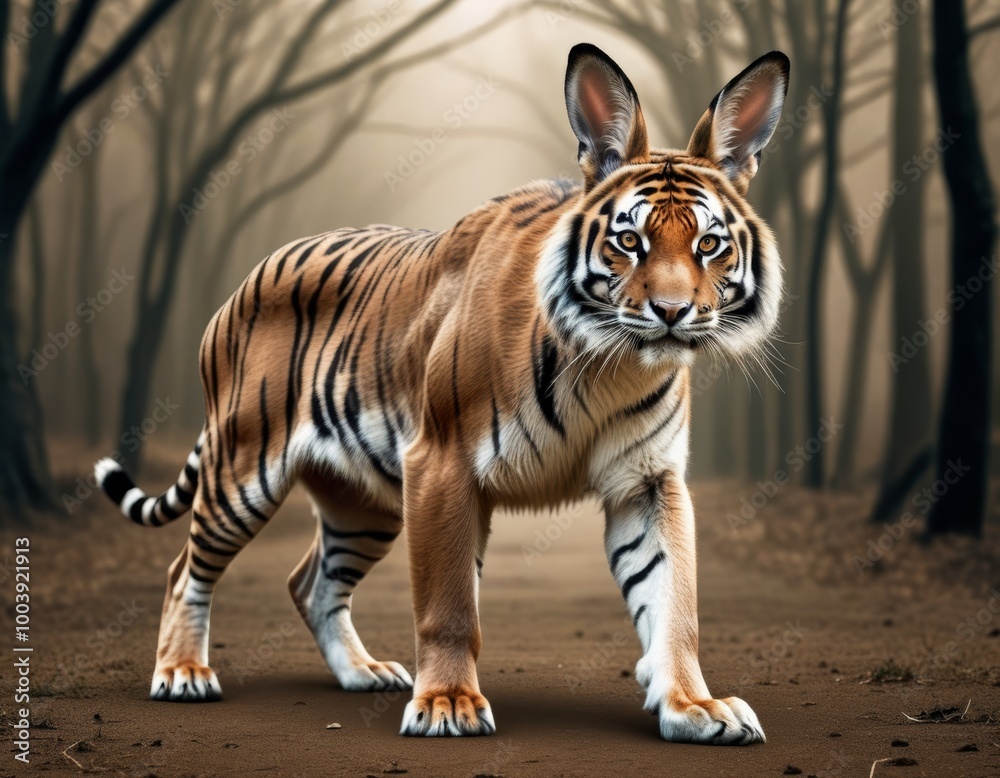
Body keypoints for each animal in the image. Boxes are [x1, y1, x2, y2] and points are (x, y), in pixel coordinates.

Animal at [95, 43, 788, 745]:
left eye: (709, 244)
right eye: (629, 241)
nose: (673, 313)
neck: (609, 365)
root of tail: (246, 279)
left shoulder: (647, 481)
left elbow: (673, 599)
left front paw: (694, 706)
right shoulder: (442, 462)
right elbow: (448, 603)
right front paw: (448, 704)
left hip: (365, 502)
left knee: (311, 583)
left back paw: (363, 672)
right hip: (243, 468)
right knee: (185, 571)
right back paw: (182, 673)